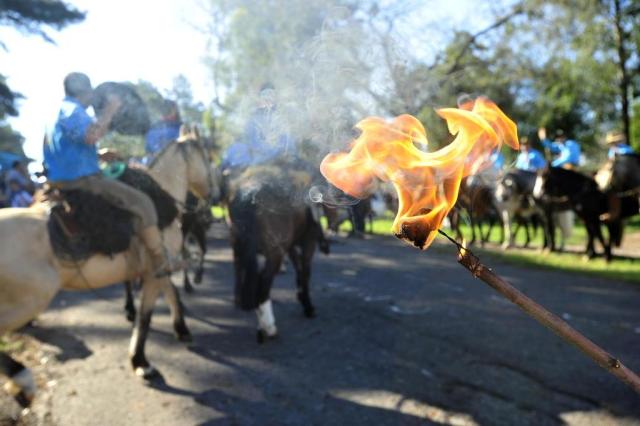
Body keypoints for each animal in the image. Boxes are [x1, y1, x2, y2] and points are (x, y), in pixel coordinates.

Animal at [0, 136, 219, 406]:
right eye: (207, 159)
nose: (214, 196)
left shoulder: (160, 268)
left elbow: (172, 294)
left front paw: (182, 330)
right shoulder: (153, 272)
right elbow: (145, 317)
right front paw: (141, 363)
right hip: (28, 302)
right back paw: (21, 379)